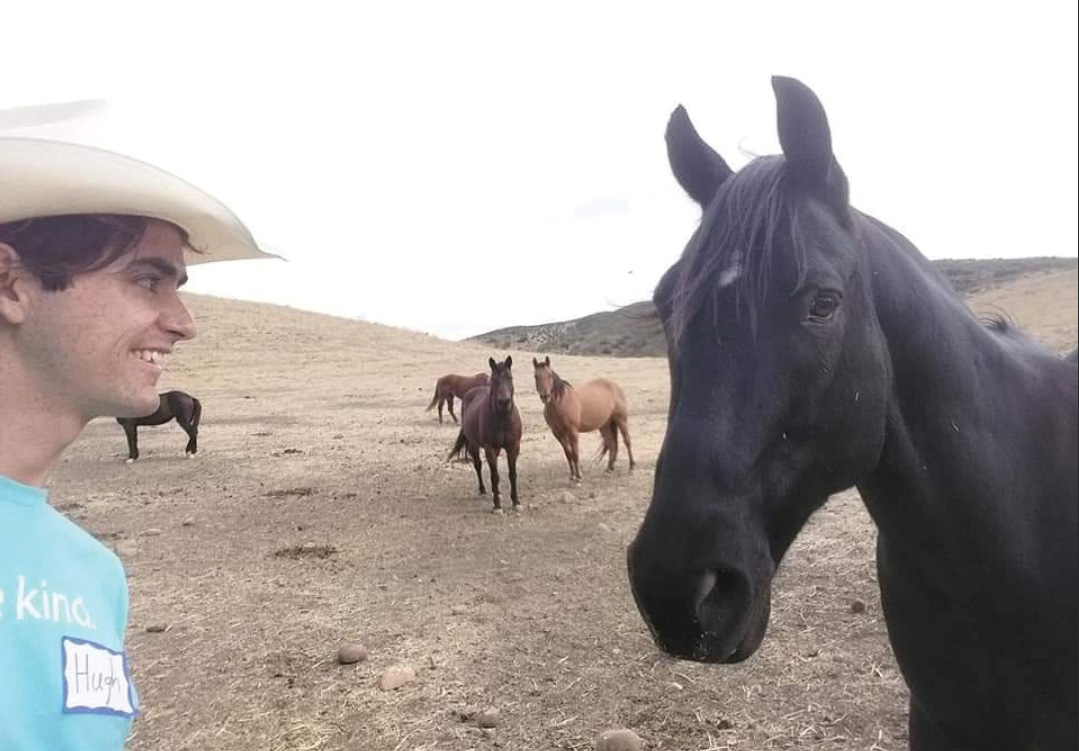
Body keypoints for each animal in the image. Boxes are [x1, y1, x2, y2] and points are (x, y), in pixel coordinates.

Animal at [447, 357, 523, 513]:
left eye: (510, 377)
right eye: (494, 379)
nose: (504, 402)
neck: (502, 419)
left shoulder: (513, 447)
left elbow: (512, 474)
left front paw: (516, 502)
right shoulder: (490, 449)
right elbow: (494, 476)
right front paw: (497, 506)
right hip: (474, 446)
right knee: (478, 465)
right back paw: (483, 490)